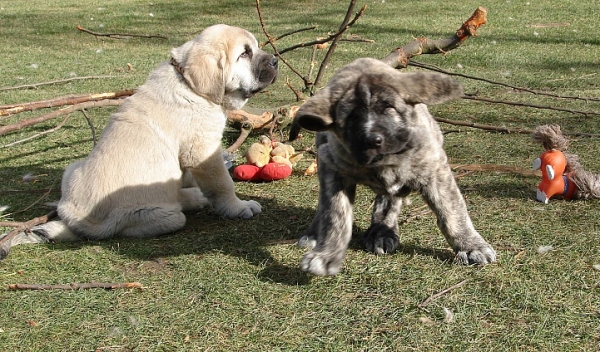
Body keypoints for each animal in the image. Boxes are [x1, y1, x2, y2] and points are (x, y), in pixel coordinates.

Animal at [288, 57, 494, 276]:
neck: (385, 161)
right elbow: (335, 215)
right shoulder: (333, 169)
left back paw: (382, 231)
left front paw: (471, 246)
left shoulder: (435, 169)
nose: (373, 140)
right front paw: (327, 254)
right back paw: (315, 234)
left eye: (389, 107)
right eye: (351, 116)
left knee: (390, 201)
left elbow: (452, 210)